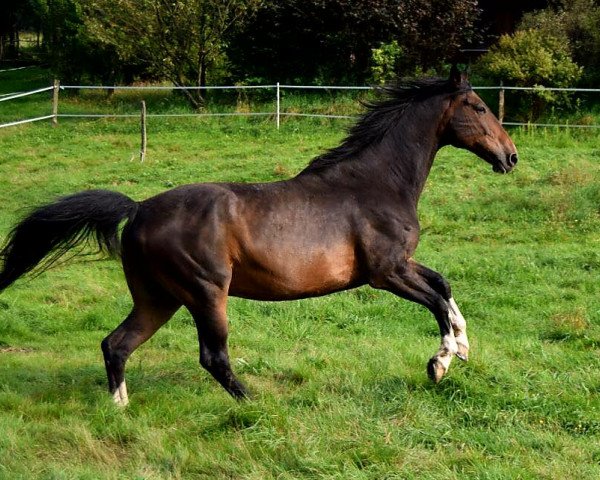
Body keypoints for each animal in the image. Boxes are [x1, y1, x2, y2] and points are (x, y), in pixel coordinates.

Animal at [0, 67, 516, 404]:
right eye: (479, 107)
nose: (510, 157)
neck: (376, 184)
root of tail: (139, 209)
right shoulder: (385, 273)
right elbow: (436, 301)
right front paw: (439, 364)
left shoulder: (402, 265)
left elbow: (444, 286)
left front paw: (462, 349)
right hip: (205, 293)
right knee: (212, 356)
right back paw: (253, 405)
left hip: (157, 298)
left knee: (117, 344)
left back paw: (121, 410)